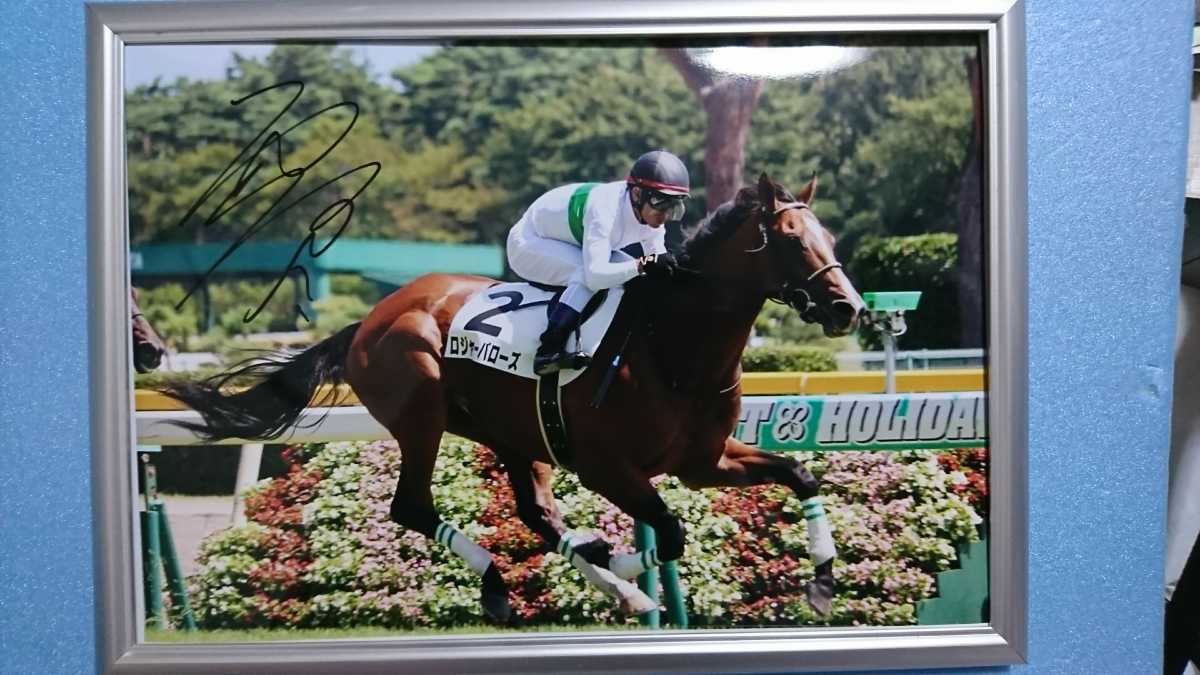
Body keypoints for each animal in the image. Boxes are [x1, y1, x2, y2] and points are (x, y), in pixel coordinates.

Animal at [161, 173, 864, 623]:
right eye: (793, 240)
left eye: (830, 238)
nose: (848, 308)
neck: (672, 347)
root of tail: (369, 319)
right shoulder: (608, 466)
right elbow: (668, 535)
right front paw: (617, 561)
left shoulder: (702, 461)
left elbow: (799, 474)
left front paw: (823, 584)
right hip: (421, 413)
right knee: (412, 506)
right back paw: (504, 586)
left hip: (508, 431)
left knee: (534, 513)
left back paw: (609, 586)